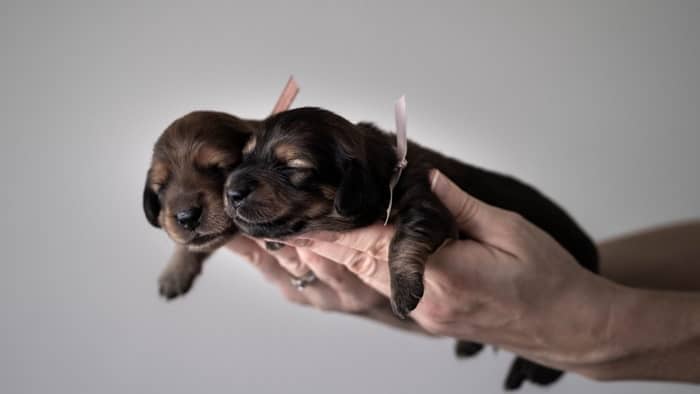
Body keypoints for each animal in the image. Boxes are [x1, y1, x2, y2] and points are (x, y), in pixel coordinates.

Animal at [223, 106, 596, 390]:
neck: (383, 170)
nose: (230, 191)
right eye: (245, 157)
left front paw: (402, 290)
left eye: (292, 167)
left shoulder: (428, 204)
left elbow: (403, 239)